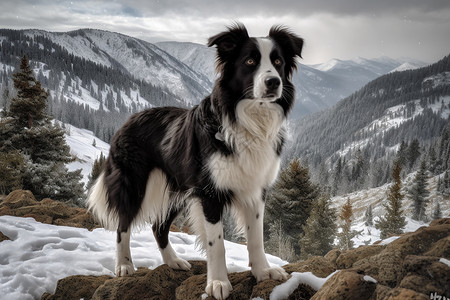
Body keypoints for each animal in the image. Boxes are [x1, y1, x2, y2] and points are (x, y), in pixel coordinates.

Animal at [87, 24, 302, 300]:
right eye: (250, 61)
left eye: (277, 62)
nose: (273, 82)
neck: (249, 121)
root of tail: (128, 119)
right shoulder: (209, 193)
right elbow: (217, 243)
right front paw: (218, 283)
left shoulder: (255, 189)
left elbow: (256, 237)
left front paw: (263, 271)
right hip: (135, 184)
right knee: (123, 225)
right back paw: (124, 265)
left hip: (177, 190)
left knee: (158, 227)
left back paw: (173, 262)